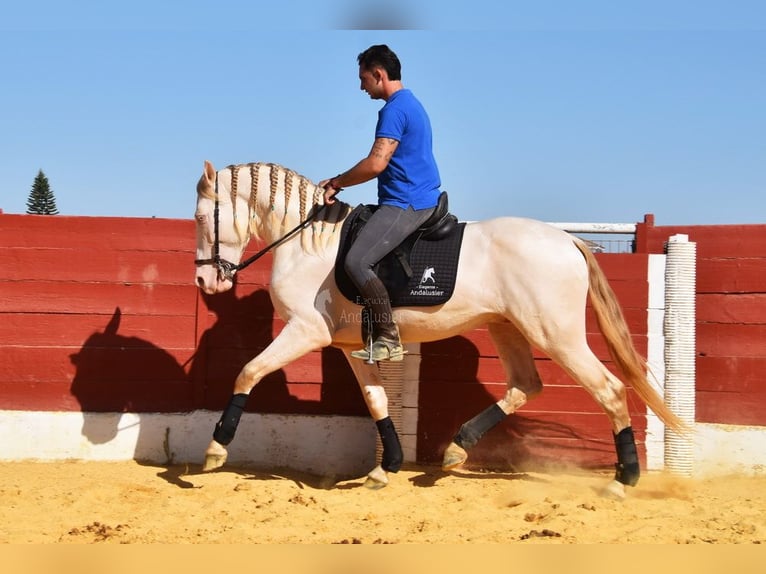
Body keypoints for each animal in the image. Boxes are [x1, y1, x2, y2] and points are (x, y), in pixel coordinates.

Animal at [194, 159, 685, 499]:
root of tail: (567, 240)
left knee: (610, 390)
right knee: (525, 384)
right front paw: (385, 467)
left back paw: (623, 481)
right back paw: (457, 448)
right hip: (508, 328)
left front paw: (216, 449)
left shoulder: (305, 332)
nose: (204, 281)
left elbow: (248, 371)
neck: (309, 243)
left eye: (200, 218)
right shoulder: (351, 346)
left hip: (556, 335)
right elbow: (376, 401)